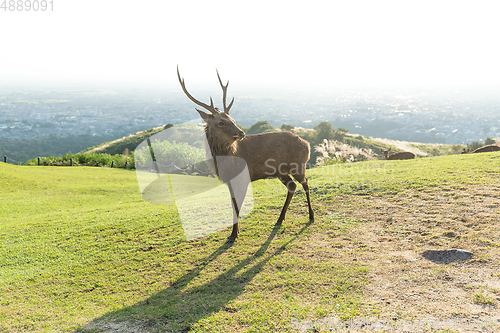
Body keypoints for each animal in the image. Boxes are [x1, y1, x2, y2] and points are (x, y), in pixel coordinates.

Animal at [178, 65, 314, 241]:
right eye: (221, 122)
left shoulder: (242, 178)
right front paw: (233, 234)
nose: (241, 133)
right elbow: (233, 203)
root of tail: (307, 144)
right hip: (281, 171)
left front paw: (233, 235)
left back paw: (311, 216)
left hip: (298, 165)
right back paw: (279, 219)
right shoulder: (229, 180)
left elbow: (237, 205)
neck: (226, 162)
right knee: (292, 186)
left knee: (305, 183)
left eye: (233, 120)